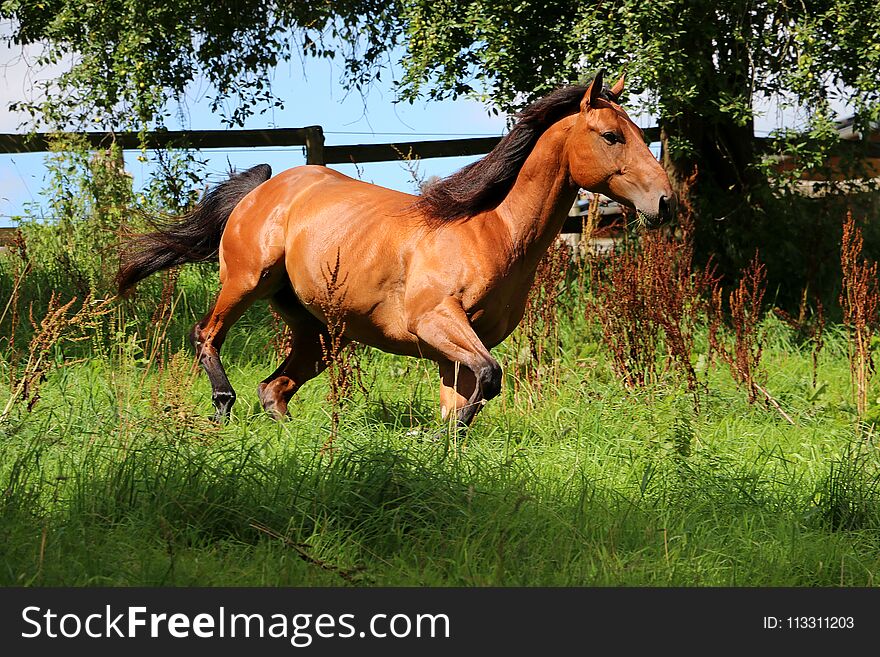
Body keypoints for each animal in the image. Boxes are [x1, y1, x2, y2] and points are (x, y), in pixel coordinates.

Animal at [115, 73, 668, 426]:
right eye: (611, 135)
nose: (664, 201)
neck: (492, 231)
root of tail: (264, 187)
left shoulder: (458, 348)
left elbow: (463, 401)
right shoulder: (436, 321)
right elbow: (489, 379)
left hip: (320, 332)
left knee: (274, 390)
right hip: (246, 280)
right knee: (206, 335)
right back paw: (223, 403)